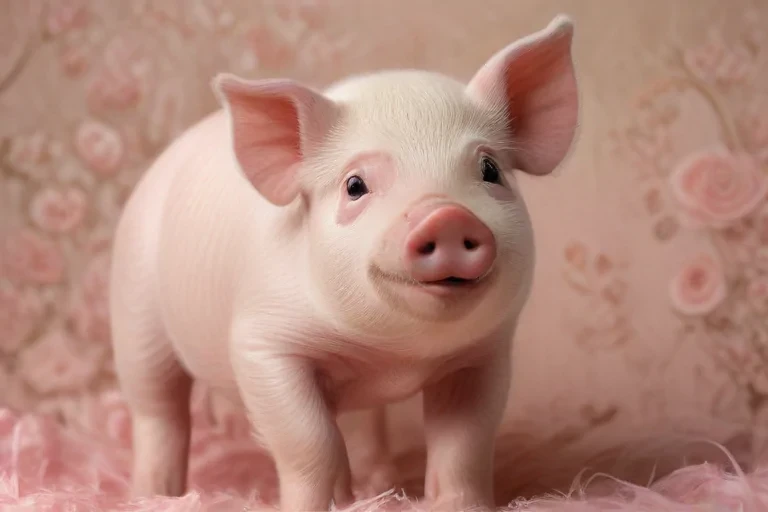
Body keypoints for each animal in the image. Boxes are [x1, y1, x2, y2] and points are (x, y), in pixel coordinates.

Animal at [109, 14, 578, 512]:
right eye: (355, 186)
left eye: (490, 170)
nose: (446, 216)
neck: (391, 356)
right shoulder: (262, 343)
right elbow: (311, 441)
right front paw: (311, 505)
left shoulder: (483, 353)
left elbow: (465, 442)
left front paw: (458, 505)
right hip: (135, 309)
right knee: (159, 409)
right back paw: (154, 495)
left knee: (362, 423)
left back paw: (374, 491)